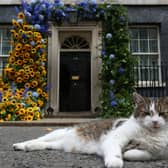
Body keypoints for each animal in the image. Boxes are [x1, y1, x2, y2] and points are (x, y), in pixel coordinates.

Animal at [13, 93, 168, 168]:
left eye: (162, 113)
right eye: (146, 113)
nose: (155, 122)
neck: (151, 134)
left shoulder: (159, 153)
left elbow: (142, 154)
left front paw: (129, 153)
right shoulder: (115, 137)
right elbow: (114, 150)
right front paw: (115, 161)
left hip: (58, 144)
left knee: (45, 145)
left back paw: (29, 147)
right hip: (57, 132)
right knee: (40, 138)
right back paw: (21, 144)